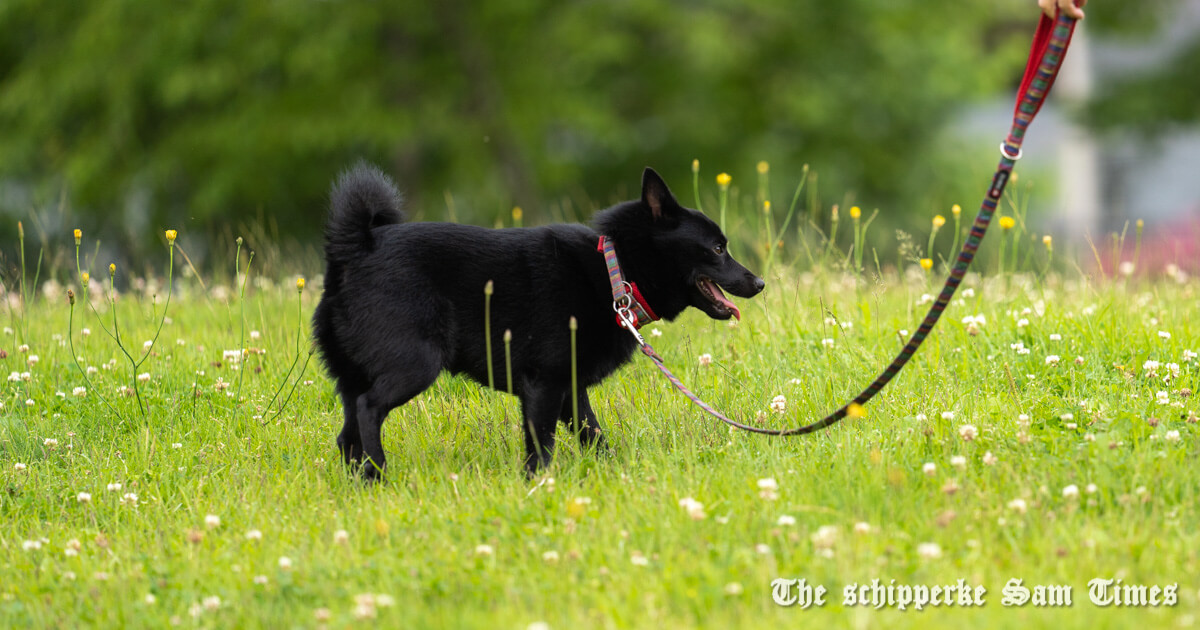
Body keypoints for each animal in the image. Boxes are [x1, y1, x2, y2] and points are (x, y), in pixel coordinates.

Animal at [309, 162, 758, 477]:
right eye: (717, 248)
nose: (760, 282)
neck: (614, 272)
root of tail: (356, 249)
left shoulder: (571, 390)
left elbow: (594, 435)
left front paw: (614, 471)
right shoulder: (544, 386)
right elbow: (541, 448)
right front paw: (538, 486)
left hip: (354, 377)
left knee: (347, 435)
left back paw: (361, 483)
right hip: (414, 365)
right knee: (368, 411)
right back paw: (380, 475)